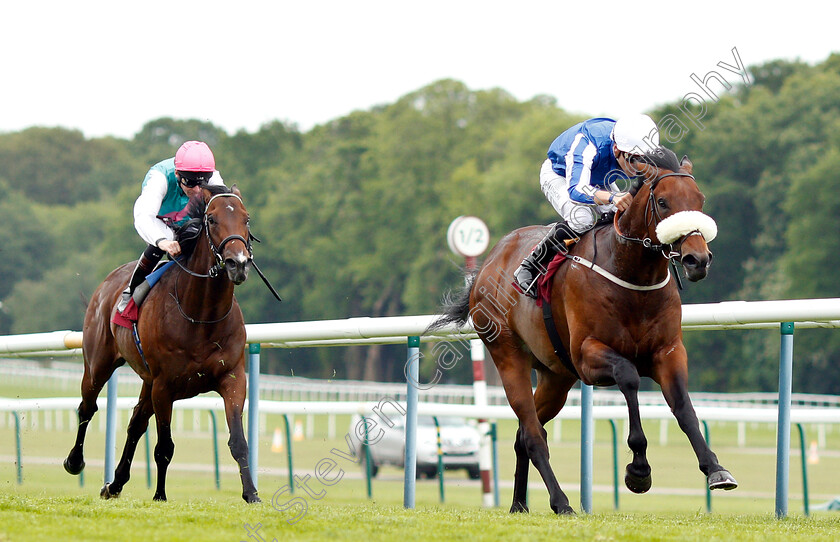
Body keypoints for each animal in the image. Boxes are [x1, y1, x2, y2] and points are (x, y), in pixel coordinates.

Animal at [64, 186, 260, 506]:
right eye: (212, 220)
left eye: (247, 219)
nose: (238, 263)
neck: (201, 316)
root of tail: (107, 282)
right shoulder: (164, 386)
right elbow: (164, 446)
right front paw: (160, 495)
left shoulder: (232, 377)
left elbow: (238, 441)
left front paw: (251, 493)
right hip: (98, 364)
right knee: (87, 407)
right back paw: (75, 461)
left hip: (146, 379)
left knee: (136, 422)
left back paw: (115, 484)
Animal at [434, 147, 736, 516]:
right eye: (663, 202)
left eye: (700, 199)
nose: (697, 259)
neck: (631, 275)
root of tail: (486, 267)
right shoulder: (588, 356)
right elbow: (629, 376)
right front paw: (638, 470)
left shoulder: (668, 351)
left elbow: (683, 407)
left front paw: (715, 469)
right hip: (508, 357)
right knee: (533, 435)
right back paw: (561, 502)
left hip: (556, 377)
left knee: (524, 434)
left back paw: (519, 504)